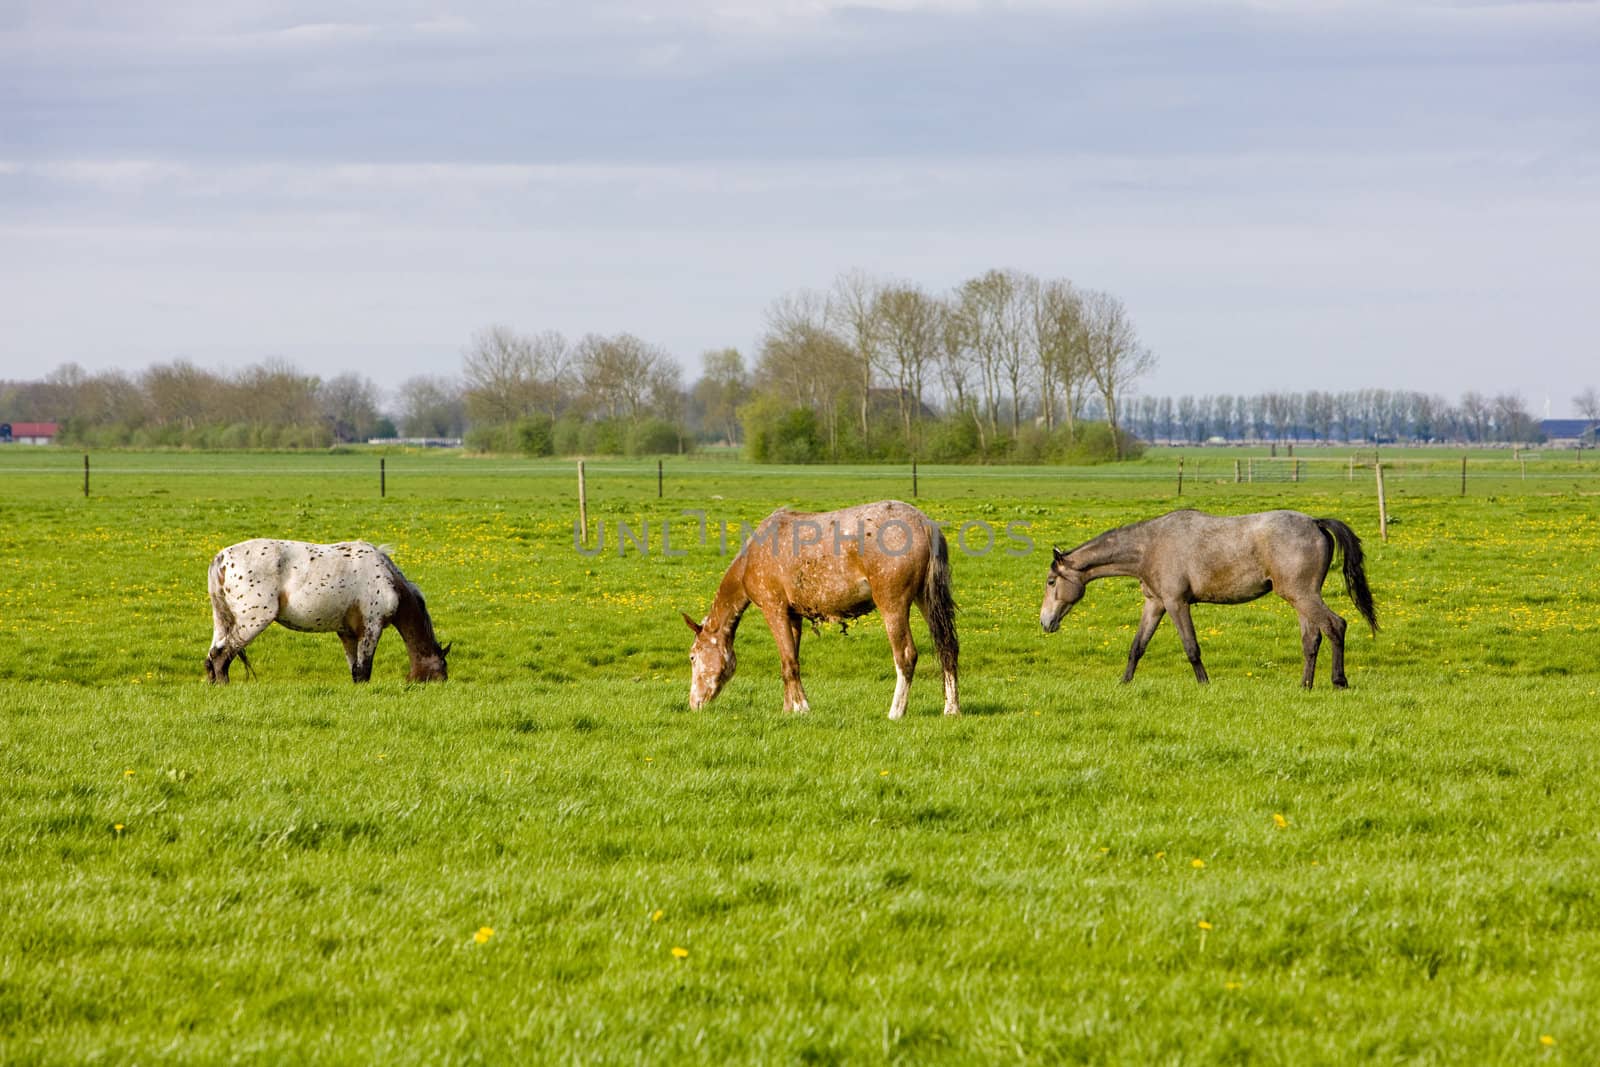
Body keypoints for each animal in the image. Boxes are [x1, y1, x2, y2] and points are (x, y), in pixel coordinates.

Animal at [204, 543, 451, 684]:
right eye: (443, 668)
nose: (443, 683)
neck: (389, 580)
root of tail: (221, 559)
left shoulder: (347, 634)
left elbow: (355, 670)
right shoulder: (371, 628)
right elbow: (364, 669)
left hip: (223, 621)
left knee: (211, 656)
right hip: (253, 620)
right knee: (221, 655)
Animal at [681, 502, 953, 716]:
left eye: (693, 657)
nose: (694, 704)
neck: (752, 557)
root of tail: (924, 524)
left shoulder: (774, 610)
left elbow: (789, 663)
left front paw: (802, 708)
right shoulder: (793, 616)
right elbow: (790, 662)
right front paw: (788, 709)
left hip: (893, 605)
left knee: (905, 655)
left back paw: (896, 712)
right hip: (925, 600)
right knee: (947, 648)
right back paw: (951, 708)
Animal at [1036, 511, 1376, 694]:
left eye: (1051, 582)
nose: (1045, 621)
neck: (1149, 546)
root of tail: (1316, 522)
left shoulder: (1176, 603)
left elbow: (1191, 648)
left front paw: (1204, 684)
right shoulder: (1155, 604)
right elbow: (1137, 647)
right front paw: (1124, 682)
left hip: (1302, 595)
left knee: (1335, 626)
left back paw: (1339, 680)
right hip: (1301, 597)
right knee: (1311, 639)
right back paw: (1305, 685)